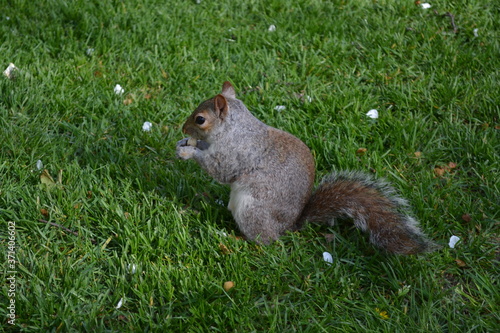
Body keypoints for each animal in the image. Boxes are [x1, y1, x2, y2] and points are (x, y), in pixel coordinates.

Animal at [176, 81, 438, 254]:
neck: (234, 130)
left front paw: (189, 151)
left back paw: (234, 238)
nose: (183, 129)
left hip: (253, 210)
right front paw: (186, 143)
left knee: (264, 241)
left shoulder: (235, 154)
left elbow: (219, 170)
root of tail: (289, 227)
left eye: (200, 119)